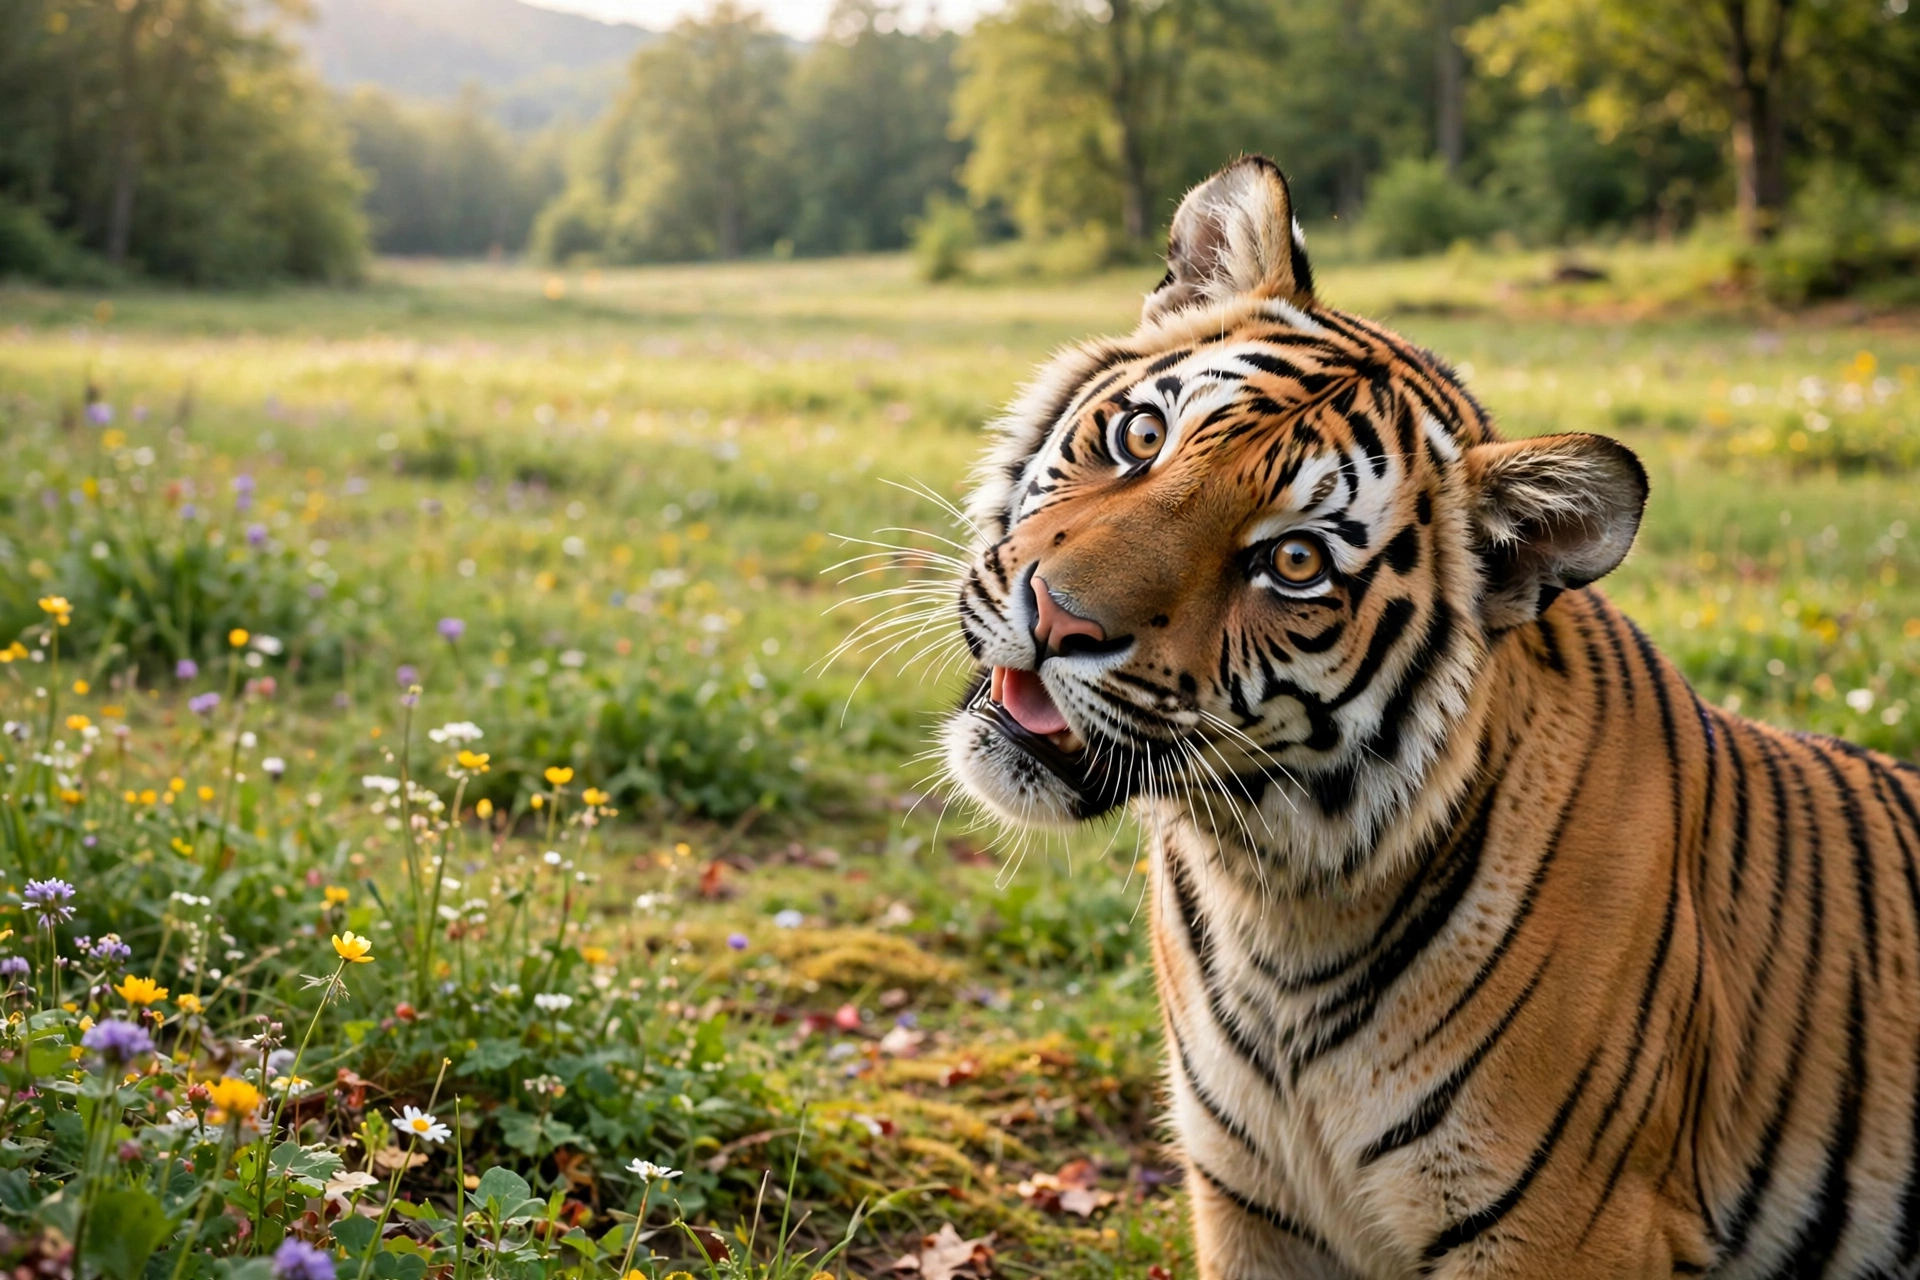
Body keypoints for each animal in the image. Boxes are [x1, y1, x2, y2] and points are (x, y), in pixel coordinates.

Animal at [931, 156, 1920, 1278]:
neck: (1271, 895)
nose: (1059, 620)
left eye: (1296, 562)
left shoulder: (1565, 1227)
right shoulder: (1248, 1199)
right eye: (1142, 436)